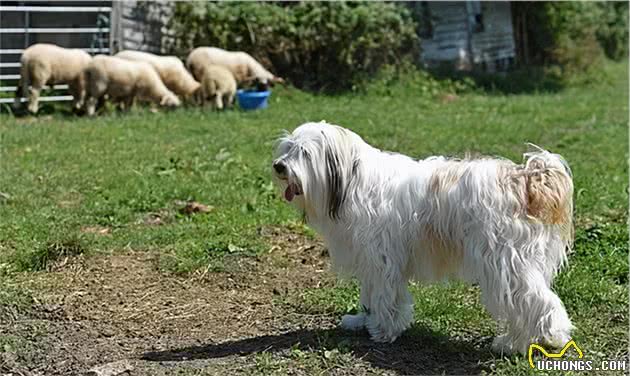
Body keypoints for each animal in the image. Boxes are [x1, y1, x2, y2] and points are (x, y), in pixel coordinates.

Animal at [274, 121, 576, 356]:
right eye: (287, 147)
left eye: (304, 152)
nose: (278, 166)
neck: (351, 181)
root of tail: (525, 176)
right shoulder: (372, 261)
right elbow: (371, 296)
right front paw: (361, 320)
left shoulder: (383, 260)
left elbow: (385, 296)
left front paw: (383, 330)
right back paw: (523, 342)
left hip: (504, 264)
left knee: (538, 304)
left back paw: (534, 341)